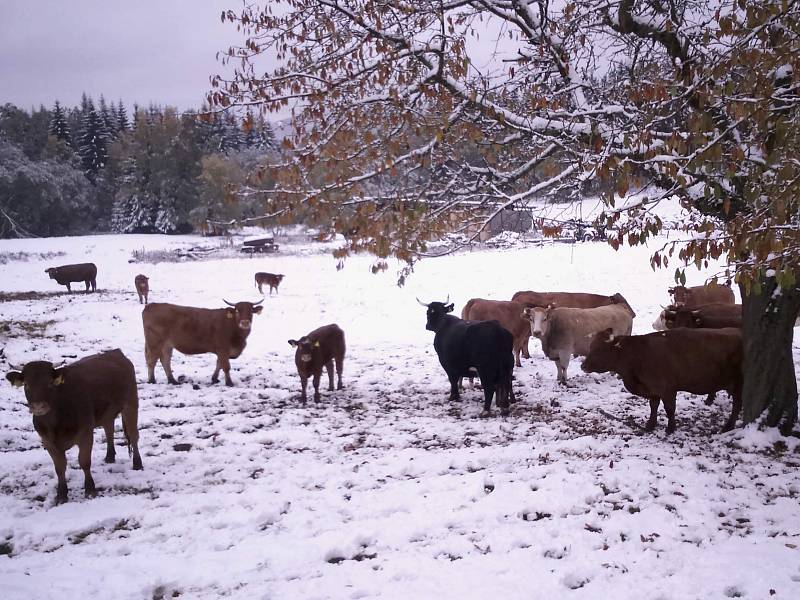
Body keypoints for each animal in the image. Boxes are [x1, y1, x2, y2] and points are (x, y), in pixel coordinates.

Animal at [5, 350, 143, 504]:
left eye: (50, 383)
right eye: (26, 384)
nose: (39, 407)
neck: (55, 423)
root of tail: (115, 352)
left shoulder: (86, 434)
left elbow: (84, 461)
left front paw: (90, 489)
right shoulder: (47, 441)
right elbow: (59, 468)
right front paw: (61, 494)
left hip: (131, 404)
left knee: (133, 435)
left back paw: (137, 464)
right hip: (107, 412)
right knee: (109, 430)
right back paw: (109, 457)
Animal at [580, 326, 744, 434]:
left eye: (600, 349)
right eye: (591, 346)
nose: (583, 366)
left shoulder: (667, 389)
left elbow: (669, 409)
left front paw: (670, 428)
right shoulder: (653, 390)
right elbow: (653, 407)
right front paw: (650, 424)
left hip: (737, 384)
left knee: (737, 405)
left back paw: (728, 426)